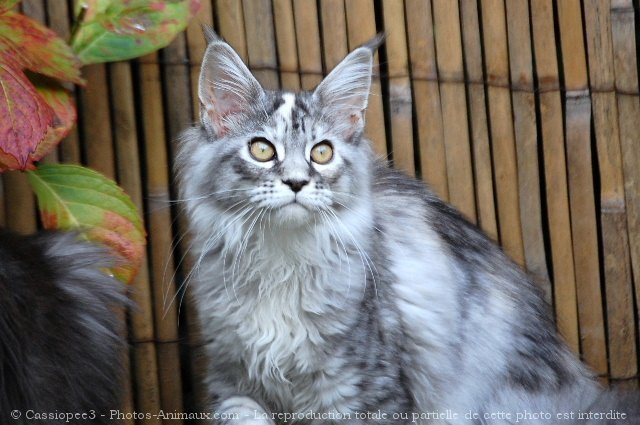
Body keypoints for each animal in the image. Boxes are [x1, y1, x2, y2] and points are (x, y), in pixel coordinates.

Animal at [176, 30, 640, 424]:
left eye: (321, 153)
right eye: (262, 150)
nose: (296, 182)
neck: (281, 261)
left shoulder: (366, 392)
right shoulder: (232, 385)